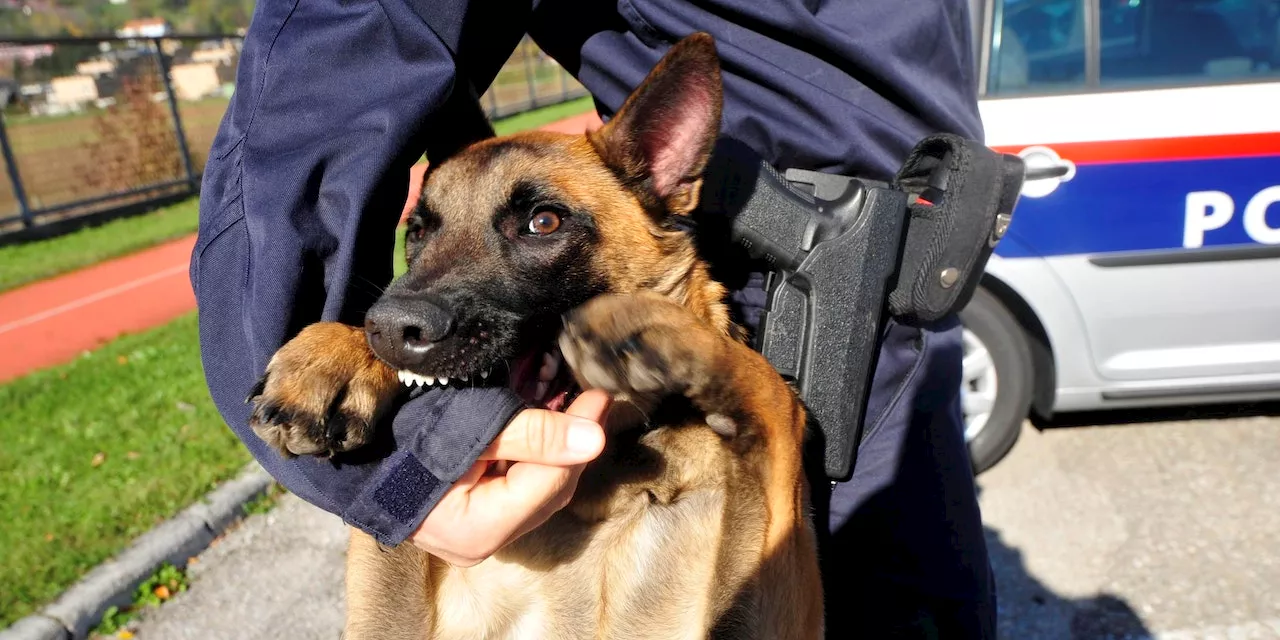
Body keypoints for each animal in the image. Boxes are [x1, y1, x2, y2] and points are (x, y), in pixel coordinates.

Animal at [245, 32, 824, 637]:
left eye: (543, 222)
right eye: (419, 231)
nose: (392, 329)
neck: (608, 473)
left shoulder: (779, 601)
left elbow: (775, 394)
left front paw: (646, 324)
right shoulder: (391, 618)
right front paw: (334, 355)